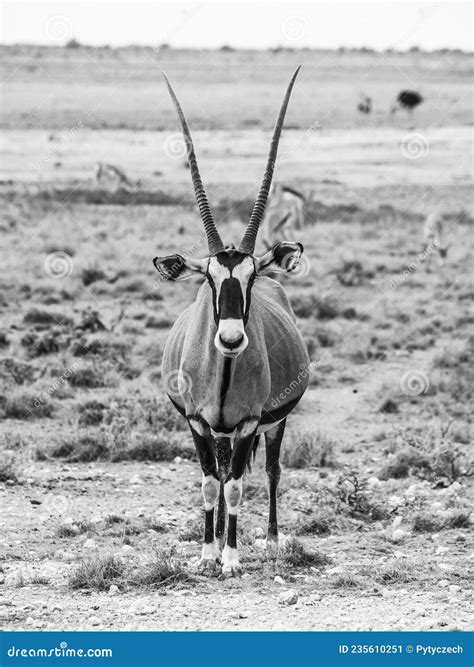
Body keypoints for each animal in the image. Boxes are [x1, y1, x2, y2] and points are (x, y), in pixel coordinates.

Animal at [156, 70, 310, 576]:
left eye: (251, 275)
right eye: (208, 277)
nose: (229, 338)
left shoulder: (247, 423)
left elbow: (241, 484)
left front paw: (232, 558)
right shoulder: (198, 423)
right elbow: (211, 482)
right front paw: (208, 553)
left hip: (275, 423)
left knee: (269, 470)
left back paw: (271, 540)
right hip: (219, 432)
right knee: (222, 474)